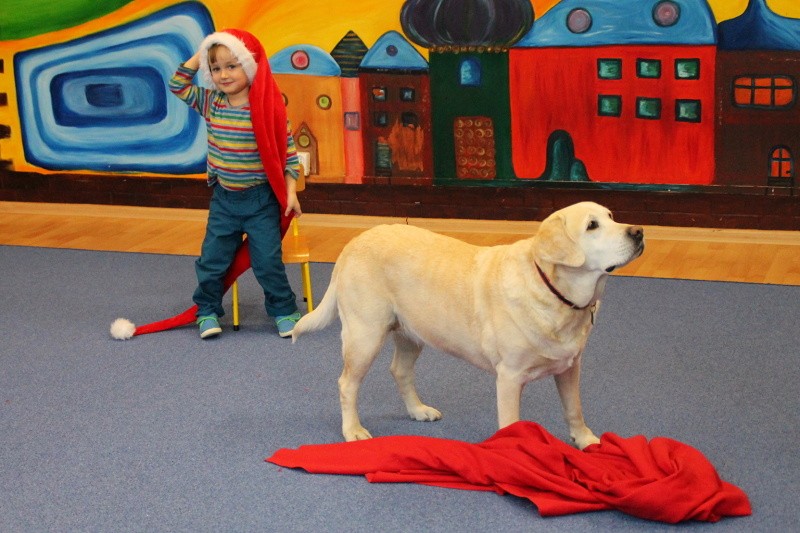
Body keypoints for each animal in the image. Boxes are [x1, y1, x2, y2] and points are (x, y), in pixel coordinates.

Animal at [292, 202, 644, 449]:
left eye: (612, 215)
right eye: (592, 226)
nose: (639, 231)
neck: (555, 292)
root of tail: (352, 243)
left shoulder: (571, 367)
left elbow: (575, 409)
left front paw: (586, 440)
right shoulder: (509, 378)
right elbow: (511, 423)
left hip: (411, 333)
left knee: (399, 371)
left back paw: (418, 410)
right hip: (365, 335)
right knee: (347, 384)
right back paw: (352, 430)